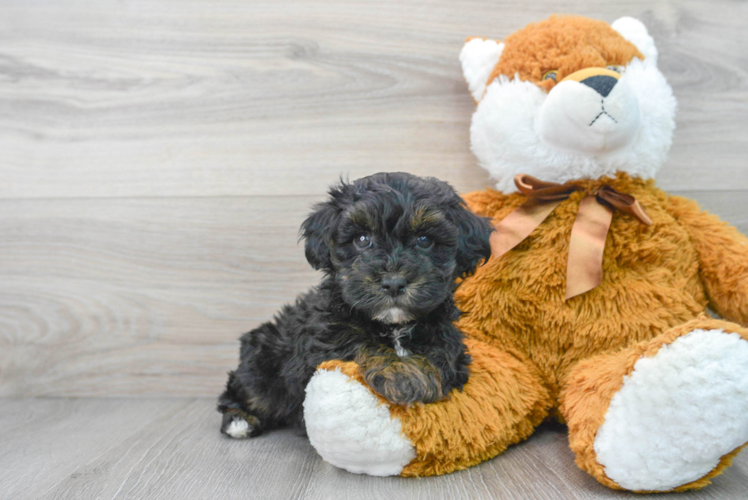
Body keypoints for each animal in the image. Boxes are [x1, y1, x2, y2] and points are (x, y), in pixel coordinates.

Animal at [219, 172, 494, 438]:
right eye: (362, 239)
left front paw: (416, 374)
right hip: (262, 365)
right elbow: (357, 341)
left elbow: (443, 351)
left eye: (424, 240)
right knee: (245, 392)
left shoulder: (446, 334)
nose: (393, 283)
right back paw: (239, 420)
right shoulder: (326, 336)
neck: (394, 325)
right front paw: (401, 374)